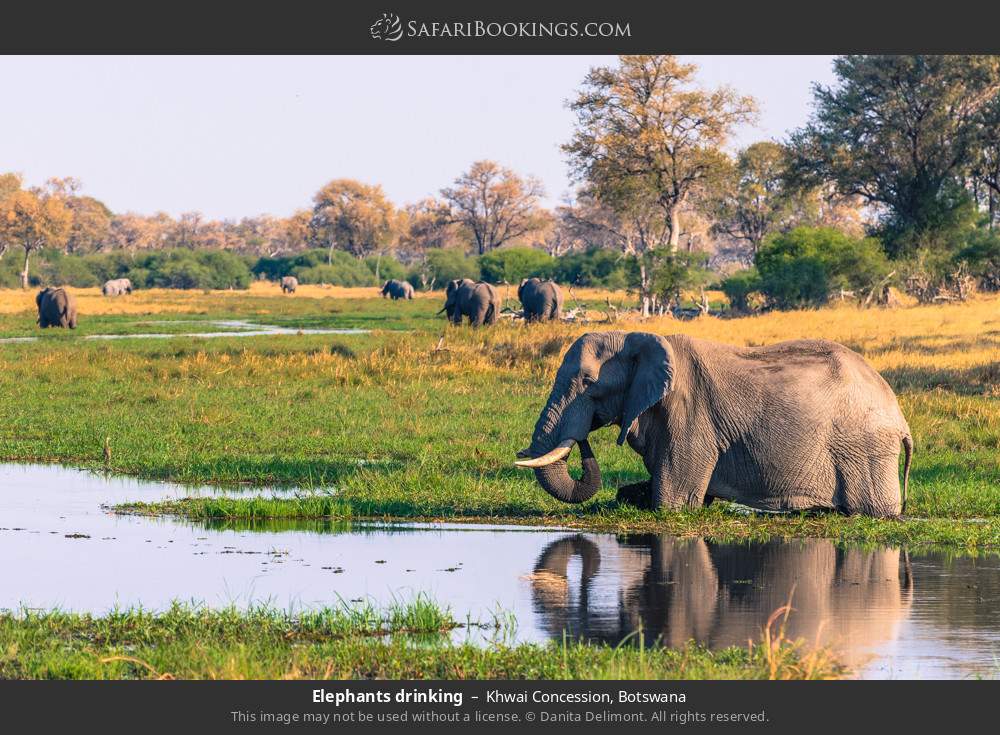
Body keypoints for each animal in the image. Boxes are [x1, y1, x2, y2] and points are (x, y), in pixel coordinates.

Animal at [516, 334, 916, 516]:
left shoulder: (691, 416)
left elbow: (672, 503)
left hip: (864, 448)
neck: (640, 338)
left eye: (587, 382)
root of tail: (899, 416)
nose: (583, 438)